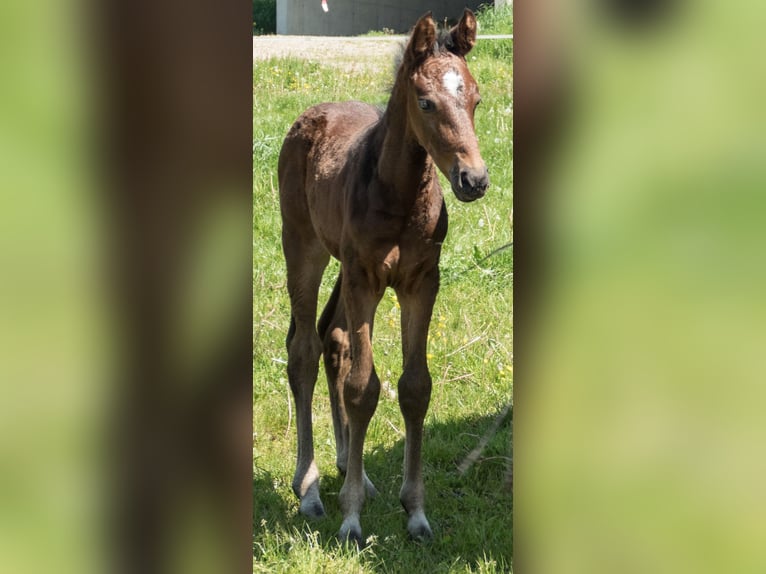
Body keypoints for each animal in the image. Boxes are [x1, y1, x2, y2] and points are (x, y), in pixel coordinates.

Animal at [280, 10, 488, 544]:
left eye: (476, 98)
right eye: (426, 102)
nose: (474, 180)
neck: (400, 196)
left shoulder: (421, 281)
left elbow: (415, 387)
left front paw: (415, 512)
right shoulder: (365, 279)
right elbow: (363, 388)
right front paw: (350, 517)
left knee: (332, 338)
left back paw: (349, 466)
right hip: (305, 248)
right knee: (304, 349)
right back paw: (310, 486)